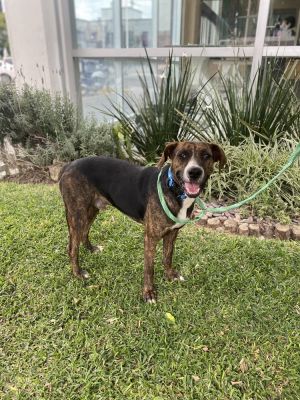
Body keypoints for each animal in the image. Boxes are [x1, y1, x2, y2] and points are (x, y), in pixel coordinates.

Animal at [58, 142, 225, 302]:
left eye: (206, 155)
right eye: (182, 155)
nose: (194, 172)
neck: (173, 188)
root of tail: (68, 165)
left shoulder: (172, 233)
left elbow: (168, 257)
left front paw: (170, 275)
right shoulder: (150, 238)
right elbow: (149, 268)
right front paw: (149, 293)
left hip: (91, 210)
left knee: (84, 232)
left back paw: (91, 249)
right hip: (77, 213)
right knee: (72, 247)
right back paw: (78, 273)